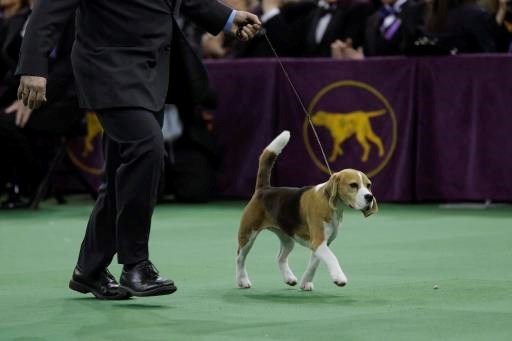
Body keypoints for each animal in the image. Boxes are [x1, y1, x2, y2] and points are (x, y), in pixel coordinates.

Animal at [236, 130, 376, 290]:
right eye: (353, 185)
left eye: (368, 185)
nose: (370, 197)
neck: (331, 206)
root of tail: (264, 189)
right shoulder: (318, 241)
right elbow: (332, 258)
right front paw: (339, 277)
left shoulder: (322, 244)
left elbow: (313, 265)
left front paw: (306, 282)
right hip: (248, 234)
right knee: (240, 258)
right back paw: (242, 280)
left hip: (287, 237)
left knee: (280, 258)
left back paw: (289, 278)